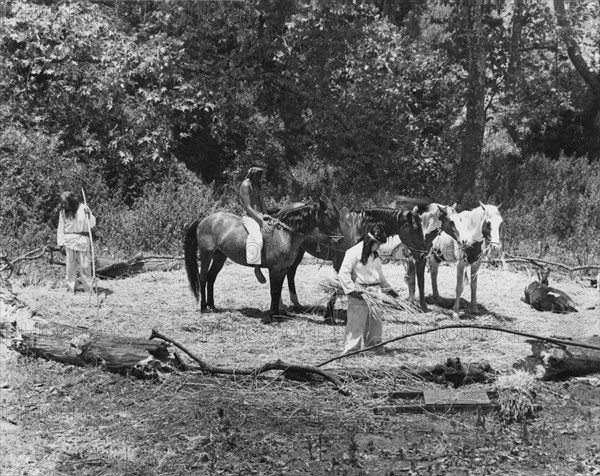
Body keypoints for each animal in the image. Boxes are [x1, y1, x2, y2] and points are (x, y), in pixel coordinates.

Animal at [183, 199, 340, 318]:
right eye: (328, 215)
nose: (339, 239)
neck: (284, 234)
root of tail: (204, 219)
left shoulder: (282, 269)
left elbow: (277, 291)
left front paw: (277, 313)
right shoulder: (275, 270)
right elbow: (274, 291)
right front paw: (273, 314)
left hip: (219, 257)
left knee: (211, 278)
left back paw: (212, 306)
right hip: (206, 254)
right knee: (203, 278)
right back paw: (204, 307)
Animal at [278, 205, 428, 312]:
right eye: (415, 227)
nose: (423, 254)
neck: (357, 227)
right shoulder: (341, 262)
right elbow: (340, 285)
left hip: (299, 251)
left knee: (290, 273)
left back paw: (295, 304)